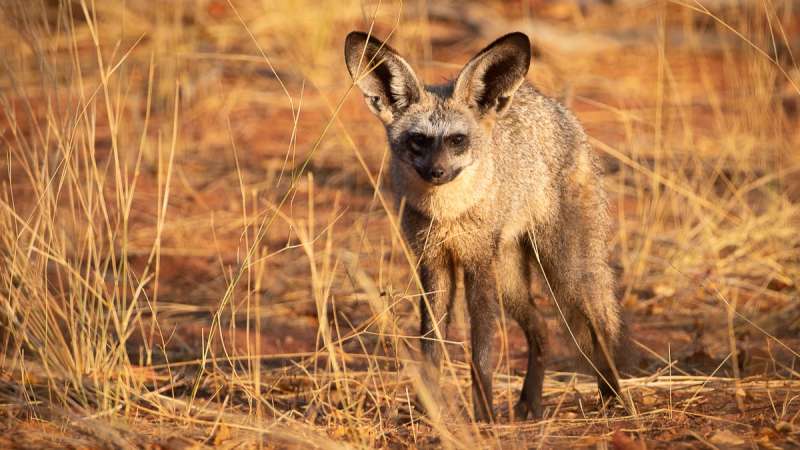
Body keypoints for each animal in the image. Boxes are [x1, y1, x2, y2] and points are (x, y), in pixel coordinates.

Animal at [344, 31, 623, 422]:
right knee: (541, 327)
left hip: (565, 273)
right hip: (510, 282)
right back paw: (531, 403)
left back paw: (615, 400)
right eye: (419, 140)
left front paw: (485, 417)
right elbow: (431, 347)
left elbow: (482, 353)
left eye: (457, 140)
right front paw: (429, 413)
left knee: (600, 329)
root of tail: (554, 106)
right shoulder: (433, 264)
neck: (448, 217)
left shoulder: (478, 266)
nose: (436, 173)